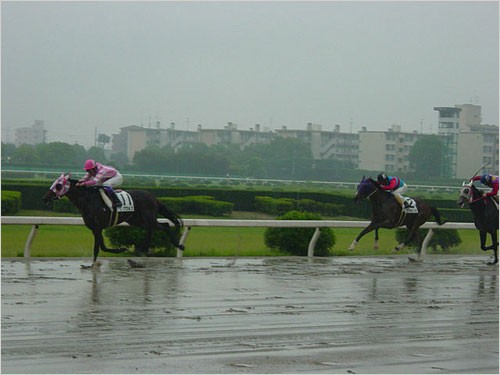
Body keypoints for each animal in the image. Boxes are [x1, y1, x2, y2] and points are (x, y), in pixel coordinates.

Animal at [42, 174, 184, 268]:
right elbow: (101, 246)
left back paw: (177, 245)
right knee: (155, 228)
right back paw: (142, 252)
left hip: (147, 218)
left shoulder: (98, 227)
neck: (88, 201)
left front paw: (95, 263)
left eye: (58, 185)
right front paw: (115, 252)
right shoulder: (95, 228)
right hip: (137, 220)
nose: (44, 198)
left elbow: (99, 247)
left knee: (165, 226)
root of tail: (153, 197)